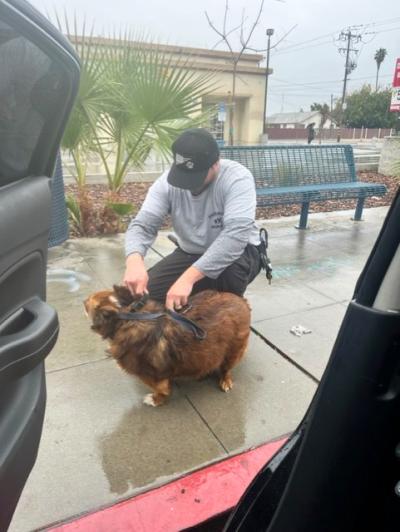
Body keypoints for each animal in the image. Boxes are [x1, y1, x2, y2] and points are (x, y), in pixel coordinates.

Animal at [85, 286, 250, 408]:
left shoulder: (150, 375)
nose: (83, 301)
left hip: (233, 350)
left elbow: (161, 389)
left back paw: (225, 380)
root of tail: (242, 300)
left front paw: (155, 400)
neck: (130, 316)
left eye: (89, 304)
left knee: (226, 368)